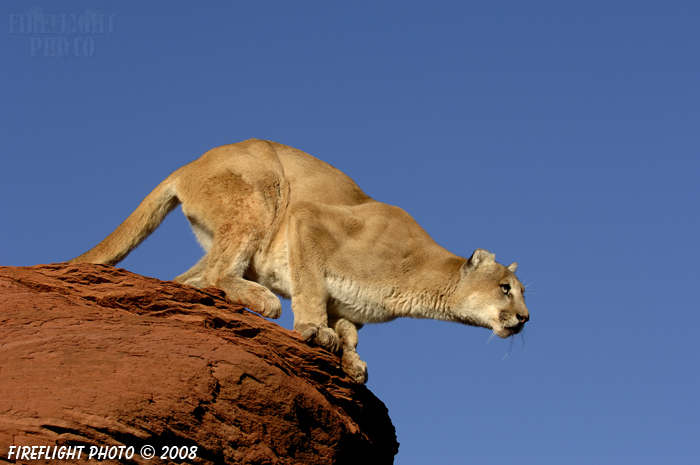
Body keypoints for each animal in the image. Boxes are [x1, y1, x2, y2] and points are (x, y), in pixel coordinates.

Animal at [72, 139, 532, 384]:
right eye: (506, 288)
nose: (526, 318)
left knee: (188, 278)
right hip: (261, 195)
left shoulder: (351, 307)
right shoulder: (308, 219)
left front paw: (352, 362)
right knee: (220, 271)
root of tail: (189, 163)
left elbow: (350, 332)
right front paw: (313, 330)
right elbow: (310, 287)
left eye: (522, 292)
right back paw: (262, 300)